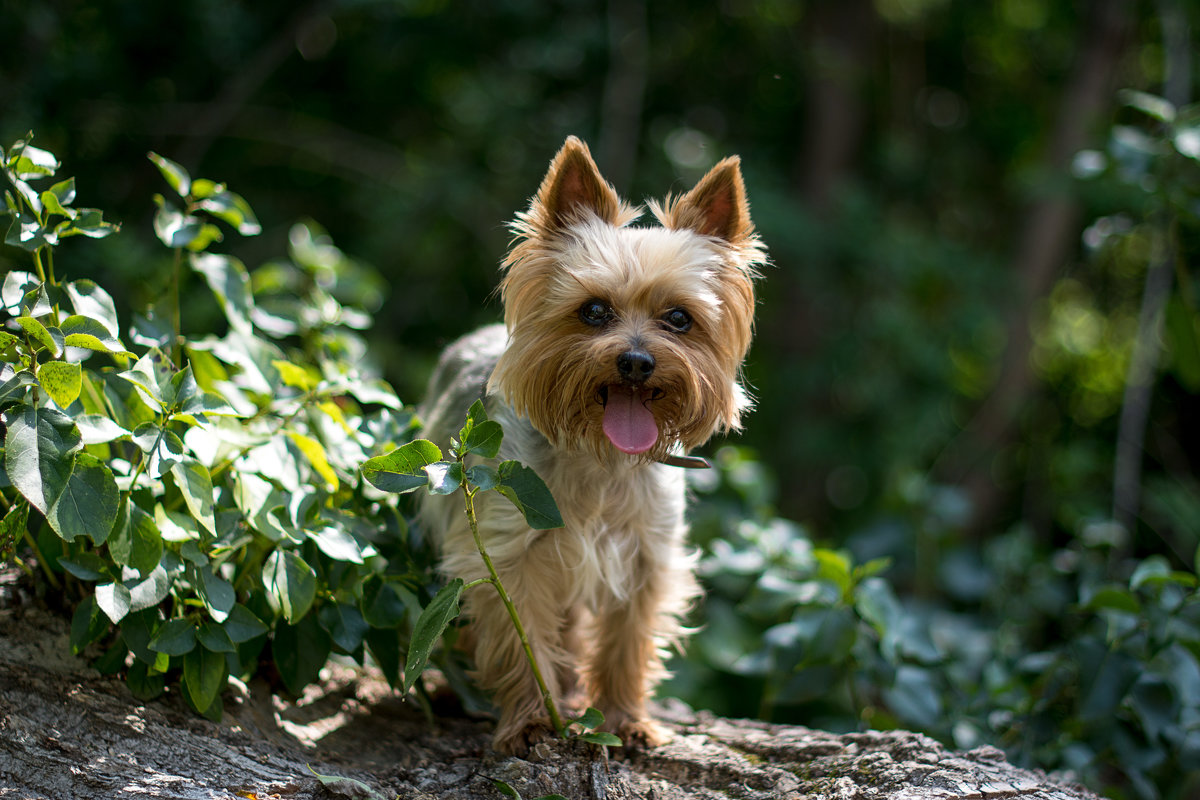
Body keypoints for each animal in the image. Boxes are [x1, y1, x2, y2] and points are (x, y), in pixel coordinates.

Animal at [417, 134, 763, 753]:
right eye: (594, 311)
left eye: (680, 319)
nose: (636, 361)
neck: (602, 459)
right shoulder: (509, 552)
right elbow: (519, 639)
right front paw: (532, 720)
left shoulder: (647, 556)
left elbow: (628, 642)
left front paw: (627, 720)